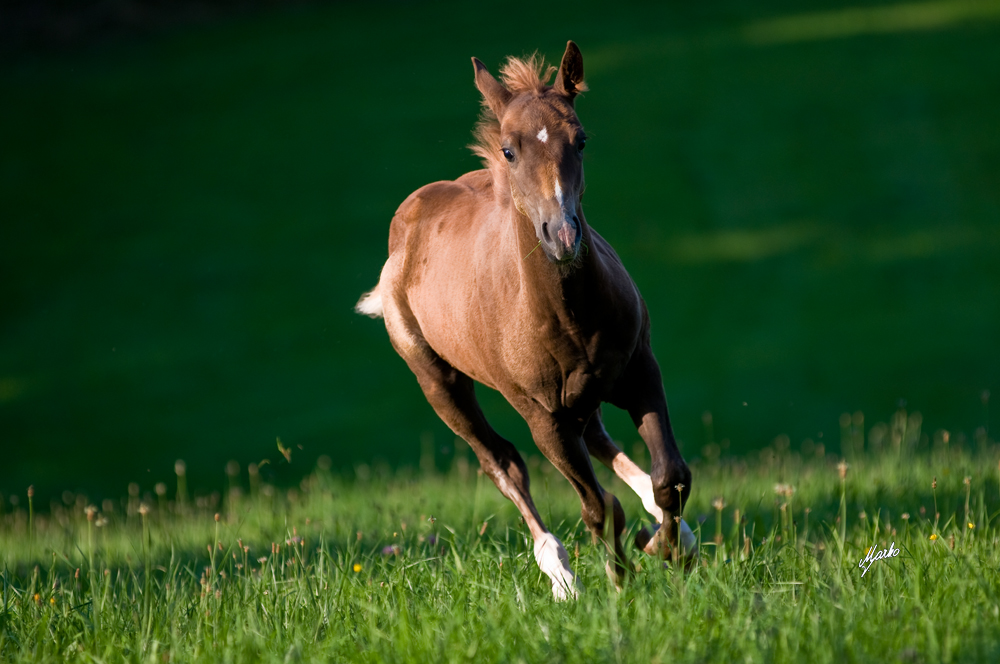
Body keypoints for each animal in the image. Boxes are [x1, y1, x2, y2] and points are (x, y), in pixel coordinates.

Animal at [358, 44, 696, 600]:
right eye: (509, 151)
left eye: (580, 140)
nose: (562, 236)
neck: (568, 316)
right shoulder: (542, 415)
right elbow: (598, 506)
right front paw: (618, 580)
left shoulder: (640, 371)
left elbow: (672, 476)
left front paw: (669, 547)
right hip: (439, 382)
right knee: (503, 463)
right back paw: (560, 574)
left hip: (584, 391)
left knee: (597, 437)